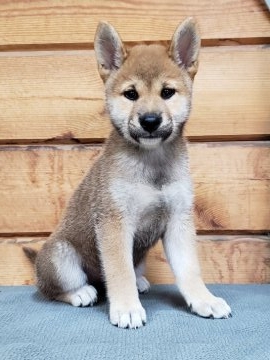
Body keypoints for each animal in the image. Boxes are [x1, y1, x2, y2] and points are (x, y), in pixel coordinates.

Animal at [23, 19, 230, 330]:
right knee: (51, 289)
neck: (152, 163)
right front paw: (127, 308)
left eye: (167, 92)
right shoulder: (114, 223)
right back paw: (81, 292)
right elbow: (120, 272)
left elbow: (189, 269)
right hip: (62, 258)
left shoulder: (178, 221)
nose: (150, 120)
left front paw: (204, 300)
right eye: (131, 94)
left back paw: (140, 282)